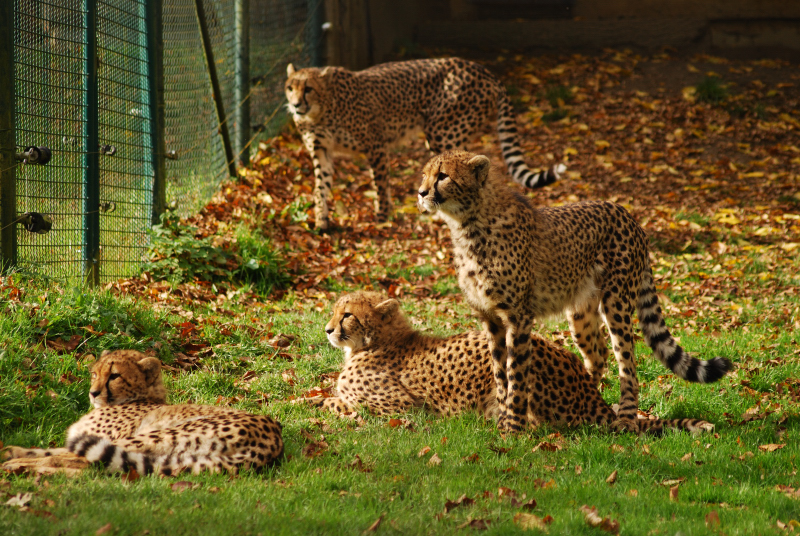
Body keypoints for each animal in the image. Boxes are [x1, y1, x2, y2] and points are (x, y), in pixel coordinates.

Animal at [2, 350, 284, 475]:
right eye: (94, 373)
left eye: (114, 376)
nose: (93, 393)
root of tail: (274, 440)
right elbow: (50, 449)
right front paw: (11, 450)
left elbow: (62, 454)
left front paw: (15, 458)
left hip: (156, 435)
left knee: (88, 465)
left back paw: (19, 468)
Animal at [285, 57, 565, 230]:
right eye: (290, 87)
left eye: (308, 88)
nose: (296, 104)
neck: (320, 111)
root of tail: (482, 69)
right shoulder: (321, 150)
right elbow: (320, 187)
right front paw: (321, 221)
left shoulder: (376, 145)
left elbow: (380, 183)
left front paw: (383, 217)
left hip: (443, 131)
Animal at [306, 291, 713, 435]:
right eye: (335, 310)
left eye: (347, 315)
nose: (327, 329)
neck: (376, 342)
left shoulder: (405, 409)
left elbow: (338, 403)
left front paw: (318, 404)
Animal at [416, 151, 732, 433]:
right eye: (425, 174)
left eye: (443, 175)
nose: (420, 193)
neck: (468, 225)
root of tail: (627, 214)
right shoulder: (491, 319)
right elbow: (499, 375)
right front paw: (503, 420)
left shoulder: (518, 317)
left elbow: (516, 375)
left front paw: (513, 429)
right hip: (580, 314)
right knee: (598, 355)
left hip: (617, 303)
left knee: (628, 364)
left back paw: (626, 420)